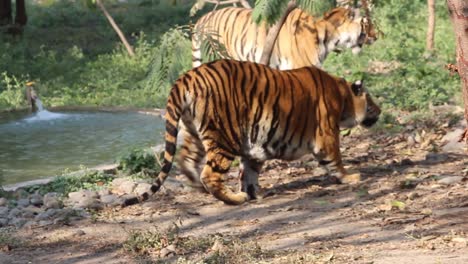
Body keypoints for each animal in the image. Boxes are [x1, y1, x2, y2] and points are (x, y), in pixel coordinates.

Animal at [146, 58, 380, 205]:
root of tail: (186, 77)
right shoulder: (327, 135)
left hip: (194, 132)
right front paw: (350, 177)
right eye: (370, 101)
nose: (380, 110)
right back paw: (234, 199)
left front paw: (254, 193)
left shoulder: (255, 145)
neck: (343, 96)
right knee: (210, 174)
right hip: (223, 136)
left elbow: (249, 172)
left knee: (186, 160)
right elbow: (335, 160)